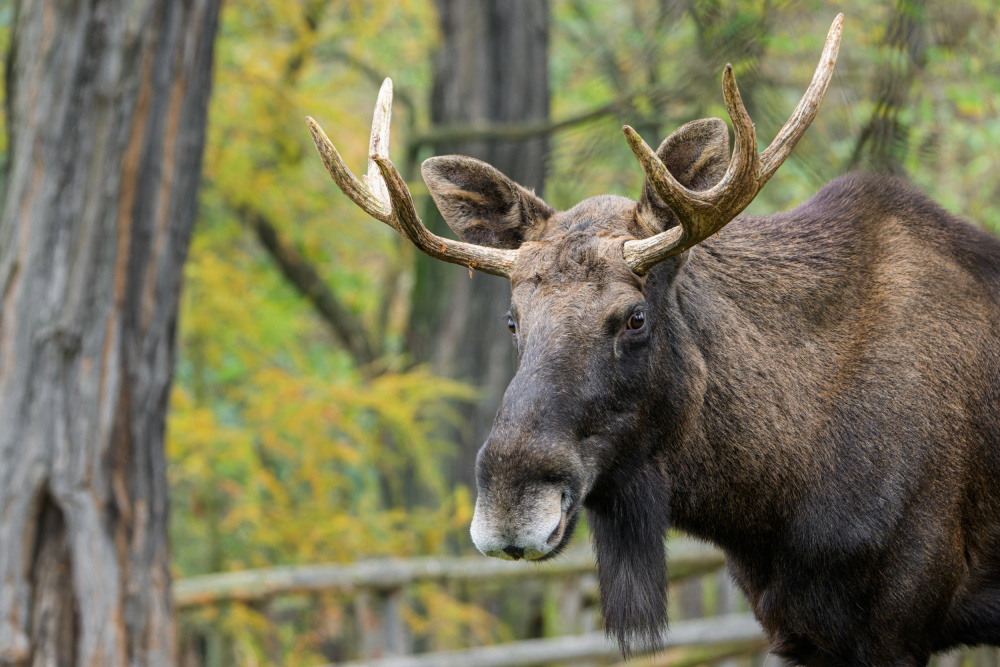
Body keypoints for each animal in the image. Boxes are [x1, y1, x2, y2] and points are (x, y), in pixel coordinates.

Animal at [306, 14, 1000, 667]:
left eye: (635, 318)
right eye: (512, 320)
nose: (509, 507)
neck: (771, 500)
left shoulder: (893, 626)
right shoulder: (798, 630)